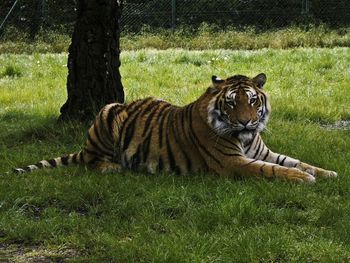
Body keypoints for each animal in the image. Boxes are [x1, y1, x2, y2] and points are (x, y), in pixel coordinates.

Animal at [10, 72, 336, 184]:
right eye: (231, 103)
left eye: (253, 100)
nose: (246, 121)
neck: (246, 138)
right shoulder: (232, 162)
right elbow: (274, 170)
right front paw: (304, 179)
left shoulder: (263, 151)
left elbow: (296, 161)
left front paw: (327, 172)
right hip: (107, 112)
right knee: (91, 162)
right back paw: (112, 167)